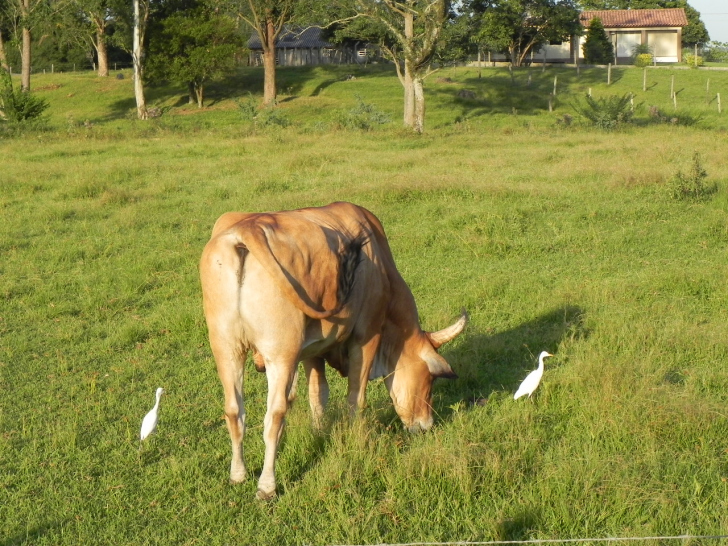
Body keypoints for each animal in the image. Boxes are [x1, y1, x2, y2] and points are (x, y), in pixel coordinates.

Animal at [199, 200, 466, 498]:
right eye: (431, 378)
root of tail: (249, 228)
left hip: (226, 348)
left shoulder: (311, 351)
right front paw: (355, 438)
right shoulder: (366, 335)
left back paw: (238, 474)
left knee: (234, 410)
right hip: (280, 353)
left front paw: (318, 433)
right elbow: (356, 397)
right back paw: (267, 485)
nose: (426, 424)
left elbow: (317, 395)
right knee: (274, 415)